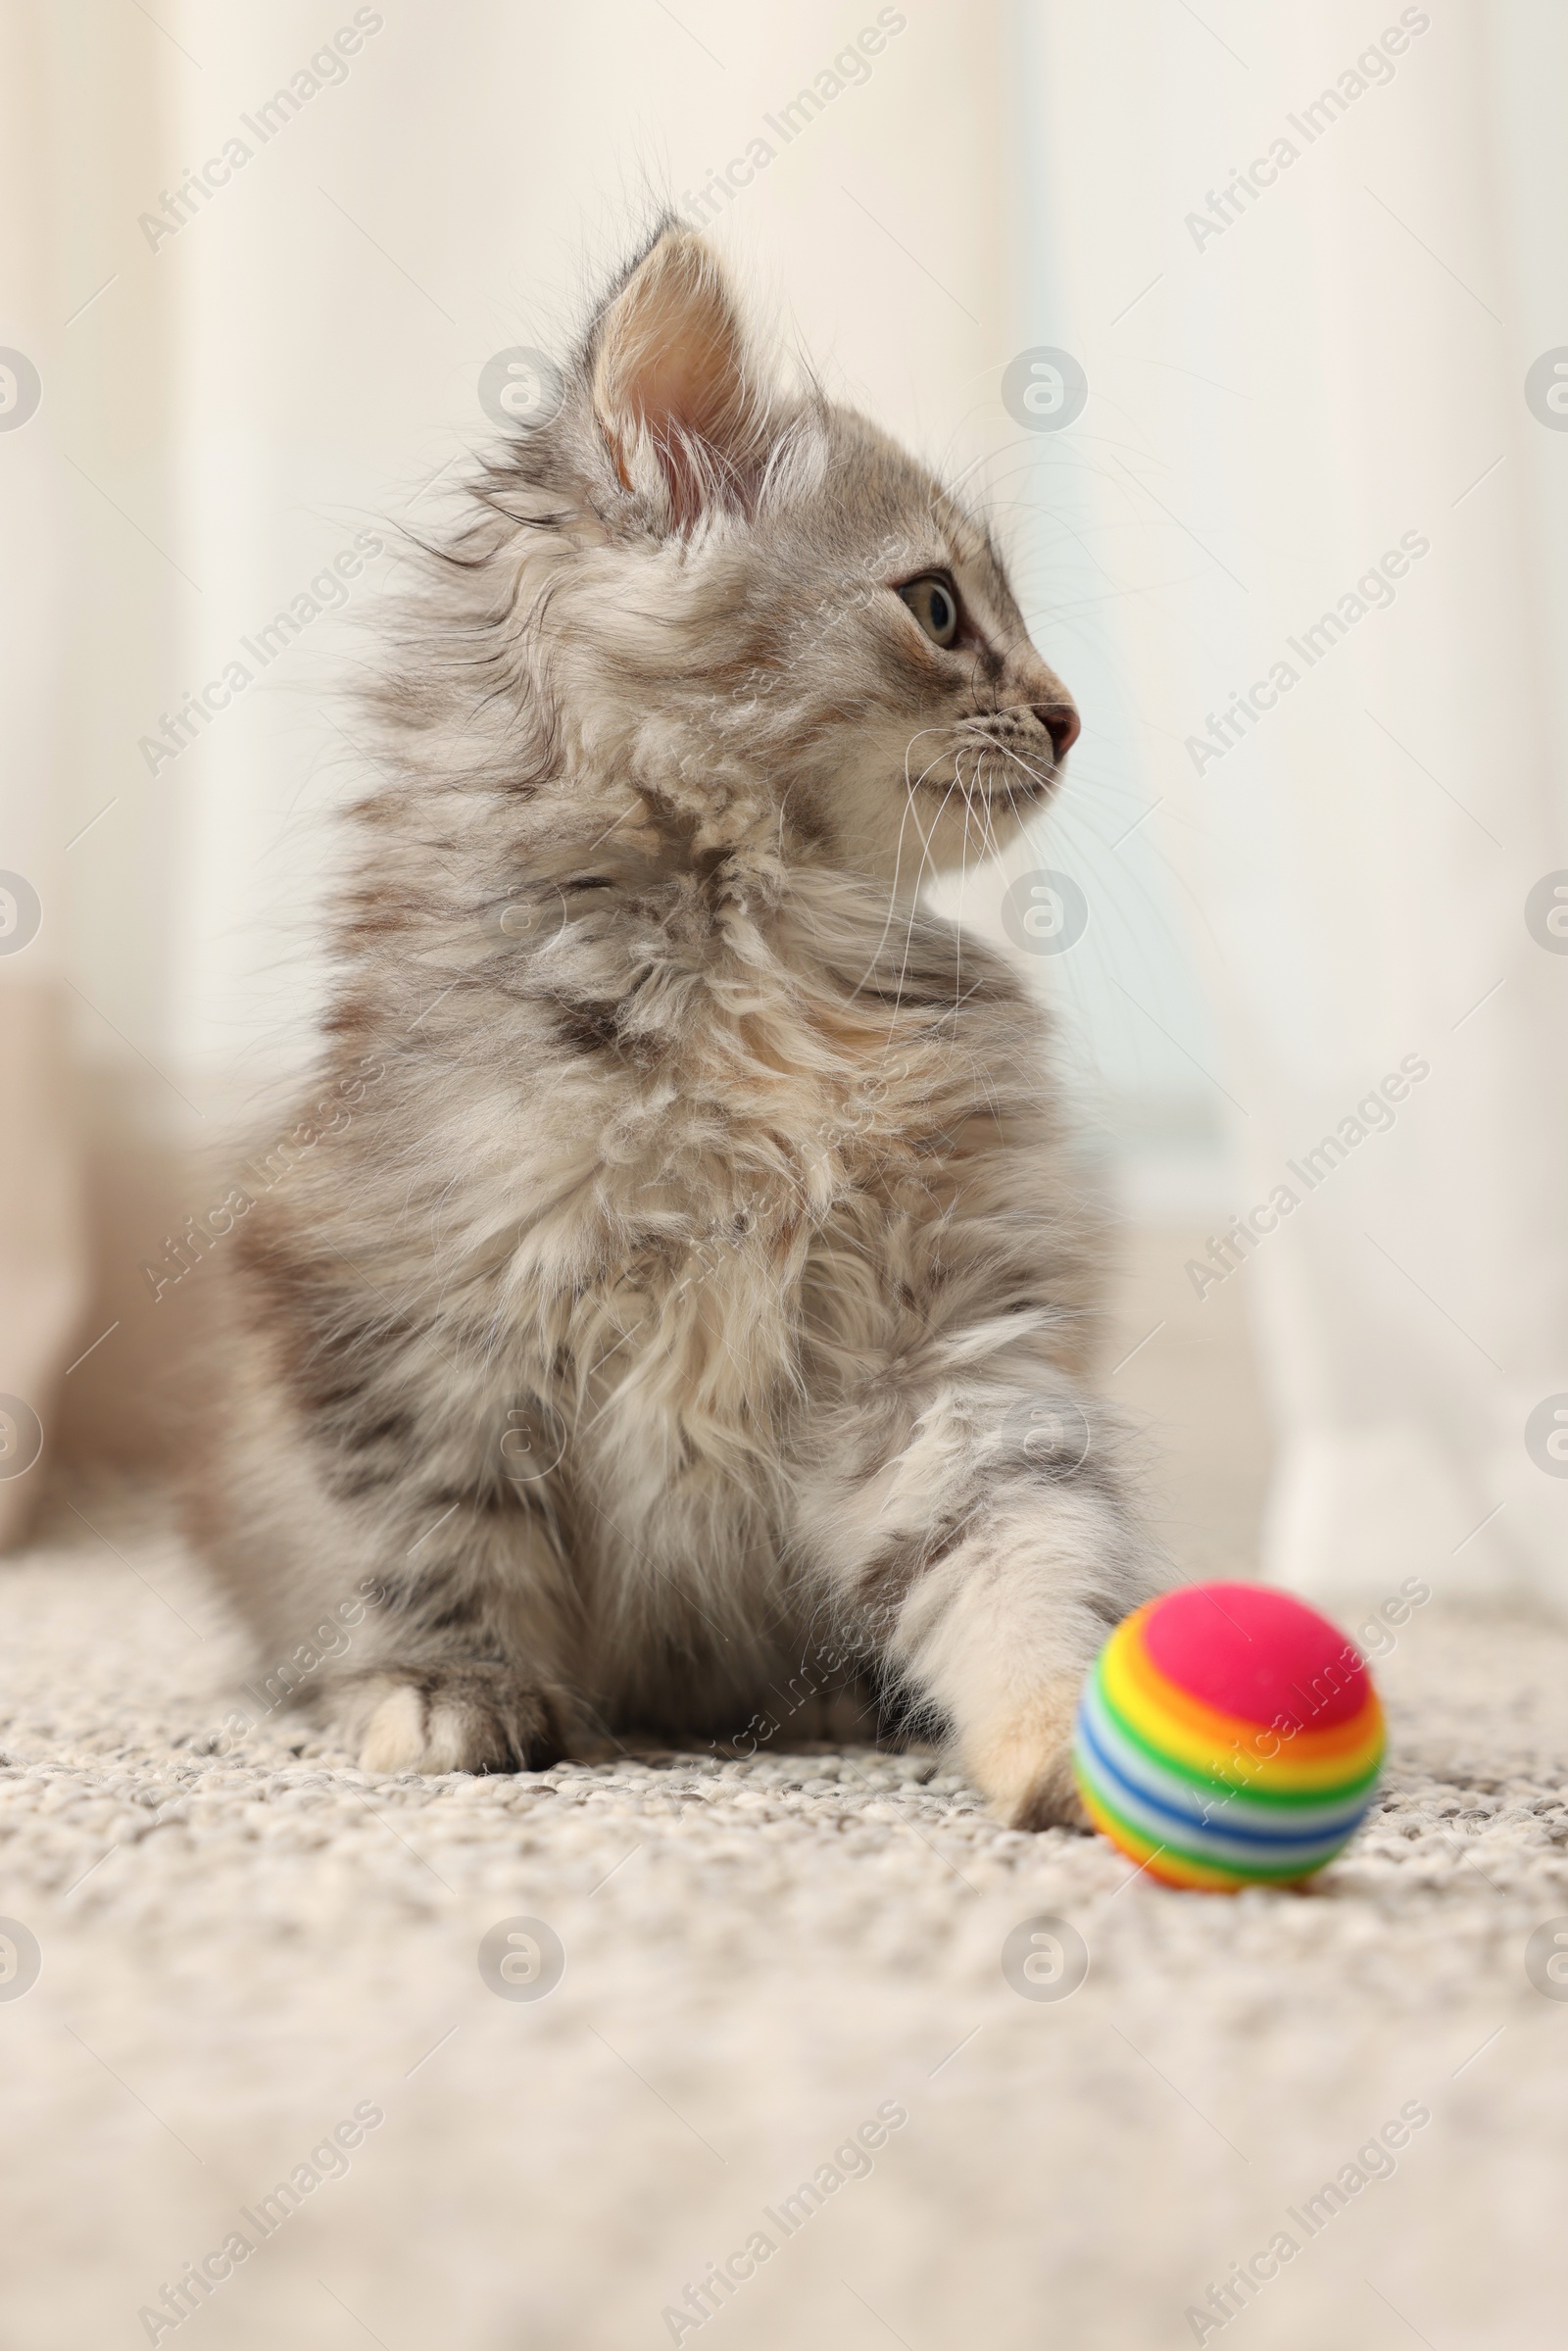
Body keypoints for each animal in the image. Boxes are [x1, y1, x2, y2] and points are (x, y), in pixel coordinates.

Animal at [190, 220, 1161, 1824]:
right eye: (939, 609)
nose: (1071, 715)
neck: (760, 970)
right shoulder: (405, 1308)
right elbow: (429, 1538)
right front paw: (445, 1696)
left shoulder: (936, 1348)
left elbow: (1017, 1548)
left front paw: (1070, 1735)